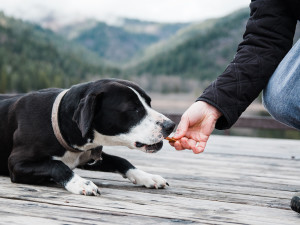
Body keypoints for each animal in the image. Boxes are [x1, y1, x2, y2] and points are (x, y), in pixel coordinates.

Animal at [0, 78, 176, 195]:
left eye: (149, 103)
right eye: (134, 109)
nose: (171, 125)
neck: (59, 121)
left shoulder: (88, 156)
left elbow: (121, 160)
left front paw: (147, 177)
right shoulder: (16, 164)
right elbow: (56, 165)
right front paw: (79, 182)